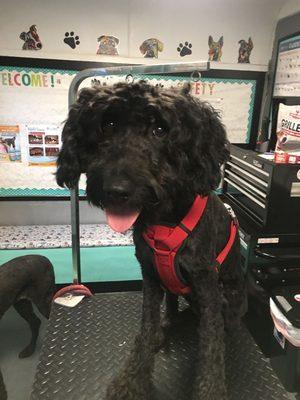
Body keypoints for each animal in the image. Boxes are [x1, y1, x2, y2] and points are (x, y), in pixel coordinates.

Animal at [56, 82, 246, 400]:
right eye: (108, 125)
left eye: (160, 129)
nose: (116, 190)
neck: (164, 220)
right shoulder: (150, 274)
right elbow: (146, 328)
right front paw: (131, 380)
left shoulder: (207, 284)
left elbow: (211, 345)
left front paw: (211, 389)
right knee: (169, 309)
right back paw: (166, 326)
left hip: (228, 295)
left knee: (226, 326)